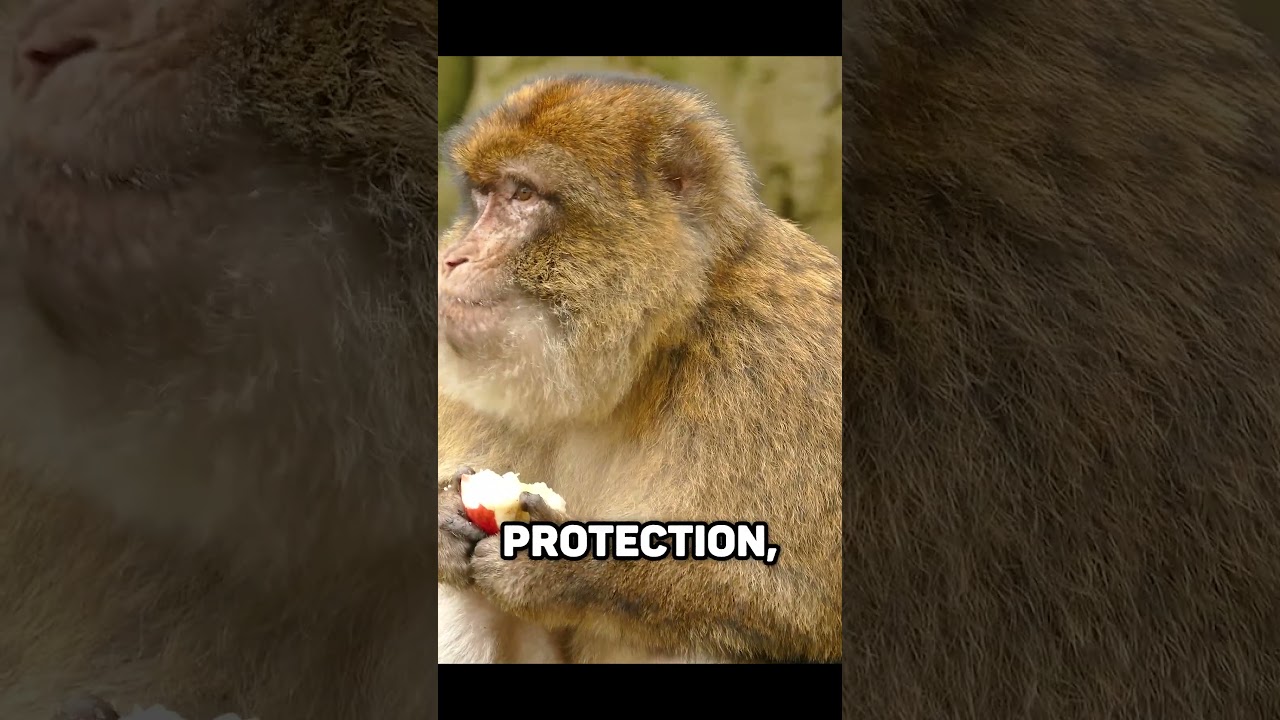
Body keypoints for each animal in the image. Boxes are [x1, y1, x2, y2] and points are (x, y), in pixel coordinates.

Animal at [434, 72, 843, 665]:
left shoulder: (785, 368)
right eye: (484, 195)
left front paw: (565, 567)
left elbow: (810, 605)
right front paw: (443, 518)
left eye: (523, 194)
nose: (453, 258)